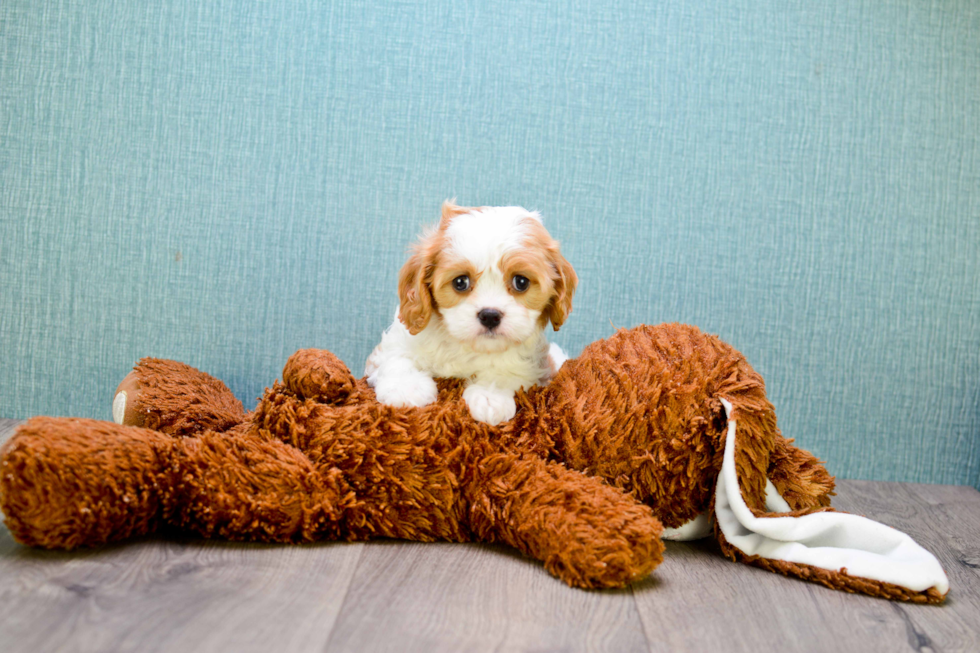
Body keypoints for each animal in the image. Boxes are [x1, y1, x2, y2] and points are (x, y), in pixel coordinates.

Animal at [372, 201, 580, 422]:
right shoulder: (396, 342)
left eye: (521, 282)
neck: (466, 346)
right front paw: (406, 387)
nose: (490, 315)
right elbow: (397, 356)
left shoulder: (533, 366)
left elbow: (506, 372)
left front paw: (490, 397)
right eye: (460, 282)